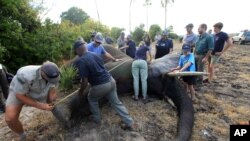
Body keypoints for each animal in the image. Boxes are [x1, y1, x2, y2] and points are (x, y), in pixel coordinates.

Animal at [52, 45, 193, 141]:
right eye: (163, 77)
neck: (147, 63)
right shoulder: (121, 68)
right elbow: (90, 86)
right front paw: (63, 116)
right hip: (74, 62)